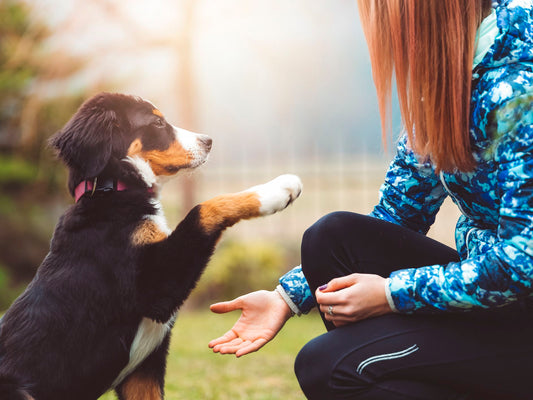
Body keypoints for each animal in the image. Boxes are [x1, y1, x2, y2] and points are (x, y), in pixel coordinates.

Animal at [0, 93, 302, 400]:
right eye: (157, 123)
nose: (208, 141)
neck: (112, 191)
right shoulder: (155, 287)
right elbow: (204, 208)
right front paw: (277, 191)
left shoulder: (143, 371)